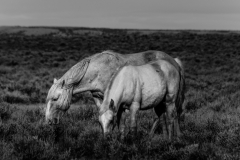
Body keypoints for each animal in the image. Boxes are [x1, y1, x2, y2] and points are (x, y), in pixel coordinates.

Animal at [45, 50, 184, 126]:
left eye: (55, 98)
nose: (49, 121)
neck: (99, 70)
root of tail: (175, 61)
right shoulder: (98, 98)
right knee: (162, 115)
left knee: (174, 114)